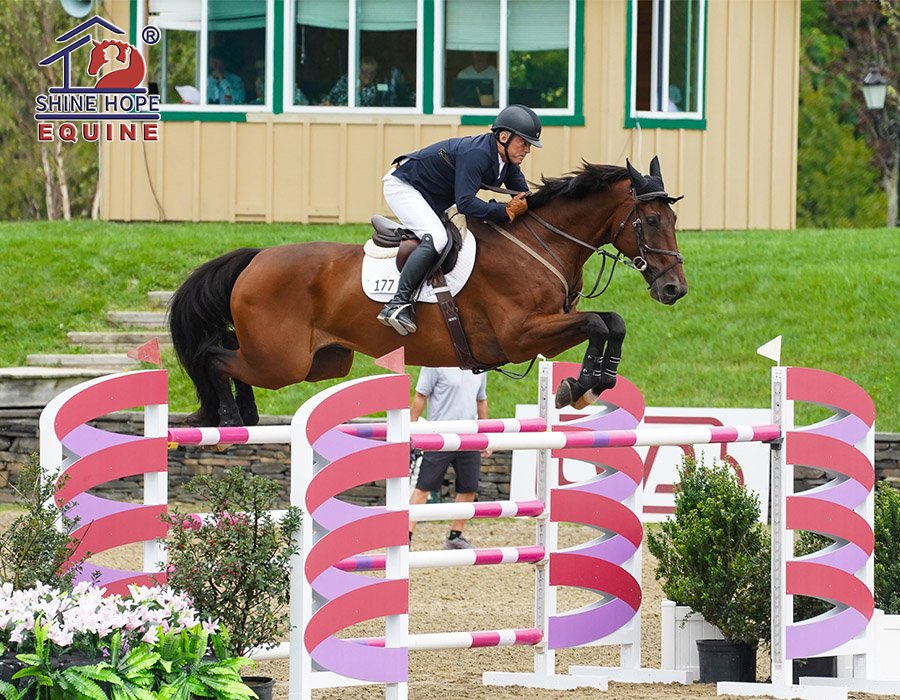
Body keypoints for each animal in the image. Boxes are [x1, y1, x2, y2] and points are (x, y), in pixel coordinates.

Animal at [169, 157, 687, 427]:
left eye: (674, 219)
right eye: (651, 220)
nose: (674, 289)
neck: (542, 243)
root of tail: (256, 258)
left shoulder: (543, 333)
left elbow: (612, 322)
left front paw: (594, 382)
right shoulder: (520, 335)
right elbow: (599, 321)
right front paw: (578, 387)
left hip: (320, 361)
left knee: (228, 347)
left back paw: (244, 413)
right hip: (283, 362)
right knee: (215, 355)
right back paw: (229, 416)